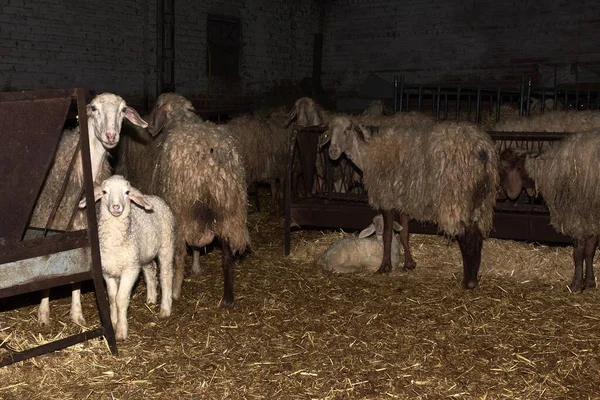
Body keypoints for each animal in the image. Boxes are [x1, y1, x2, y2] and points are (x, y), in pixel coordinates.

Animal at [29, 93, 148, 324]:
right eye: (93, 108)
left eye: (123, 110)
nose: (111, 136)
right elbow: (45, 269)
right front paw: (43, 313)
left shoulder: (82, 228)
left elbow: (77, 275)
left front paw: (77, 314)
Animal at [78, 175, 175, 340]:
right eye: (104, 192)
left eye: (127, 192)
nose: (116, 207)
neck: (115, 242)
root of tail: (154, 197)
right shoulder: (108, 271)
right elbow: (112, 297)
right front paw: (114, 321)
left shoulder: (130, 270)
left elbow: (121, 299)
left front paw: (121, 331)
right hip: (142, 254)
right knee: (150, 270)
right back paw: (151, 298)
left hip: (166, 245)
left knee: (166, 275)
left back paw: (165, 308)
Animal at [145, 93, 248, 306]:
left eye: (157, 106)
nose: (150, 128)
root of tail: (210, 157)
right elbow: (197, 246)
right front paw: (197, 267)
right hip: (229, 208)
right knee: (227, 257)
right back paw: (228, 298)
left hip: (182, 209)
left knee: (179, 255)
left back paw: (175, 290)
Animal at [322, 115, 500, 288]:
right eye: (329, 131)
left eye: (348, 129)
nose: (332, 151)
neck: (368, 156)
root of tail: (482, 150)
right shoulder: (404, 202)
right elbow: (404, 233)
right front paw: (409, 264)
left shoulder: (387, 198)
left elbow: (387, 235)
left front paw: (384, 267)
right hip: (482, 201)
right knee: (477, 235)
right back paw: (473, 279)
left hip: (457, 199)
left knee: (467, 237)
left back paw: (468, 282)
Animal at [500, 133, 600, 292]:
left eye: (502, 167)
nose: (499, 193)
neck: (545, 170)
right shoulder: (591, 219)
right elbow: (590, 251)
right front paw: (590, 282)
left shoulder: (577, 217)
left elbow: (579, 253)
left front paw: (576, 285)